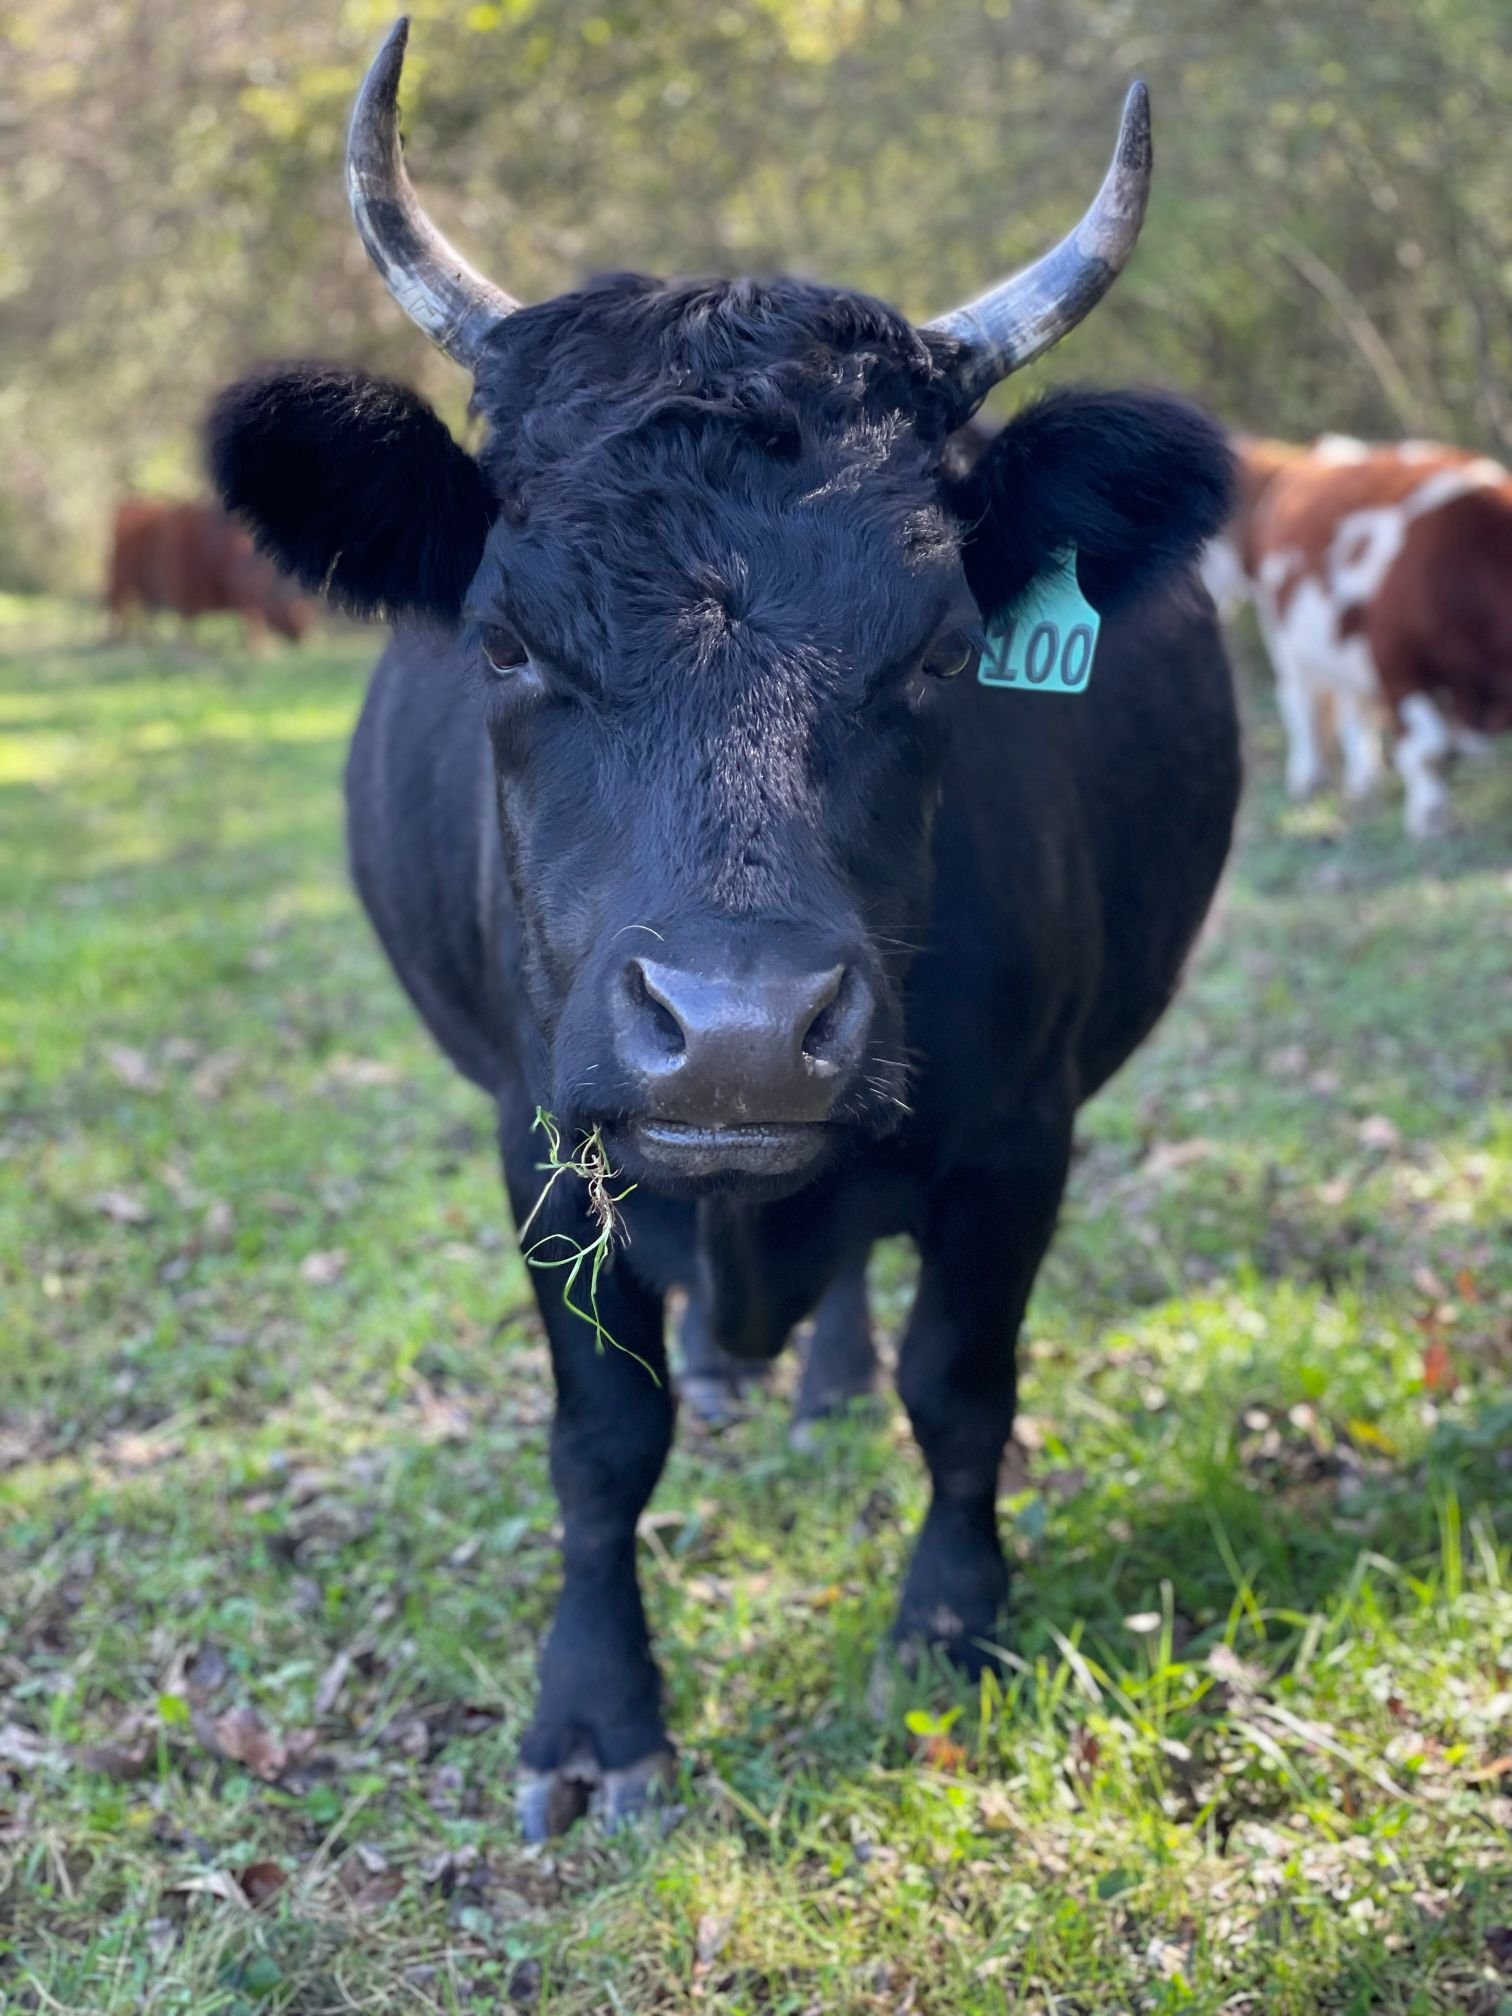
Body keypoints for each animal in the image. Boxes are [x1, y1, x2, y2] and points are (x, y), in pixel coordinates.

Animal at [207, 19, 1233, 1846]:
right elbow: (603, 1434)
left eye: (941, 646)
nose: (743, 1033)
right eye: (505, 640)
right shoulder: (537, 1134)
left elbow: (962, 1390)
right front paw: (596, 1718)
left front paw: (947, 1635)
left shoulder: (1018, 1135)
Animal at [1209, 435, 1512, 834]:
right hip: (1279, 628)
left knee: (1351, 709)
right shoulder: (1395, 660)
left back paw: (1364, 783)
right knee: (1299, 698)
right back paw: (1309, 778)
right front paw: (1429, 820)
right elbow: (1428, 747)